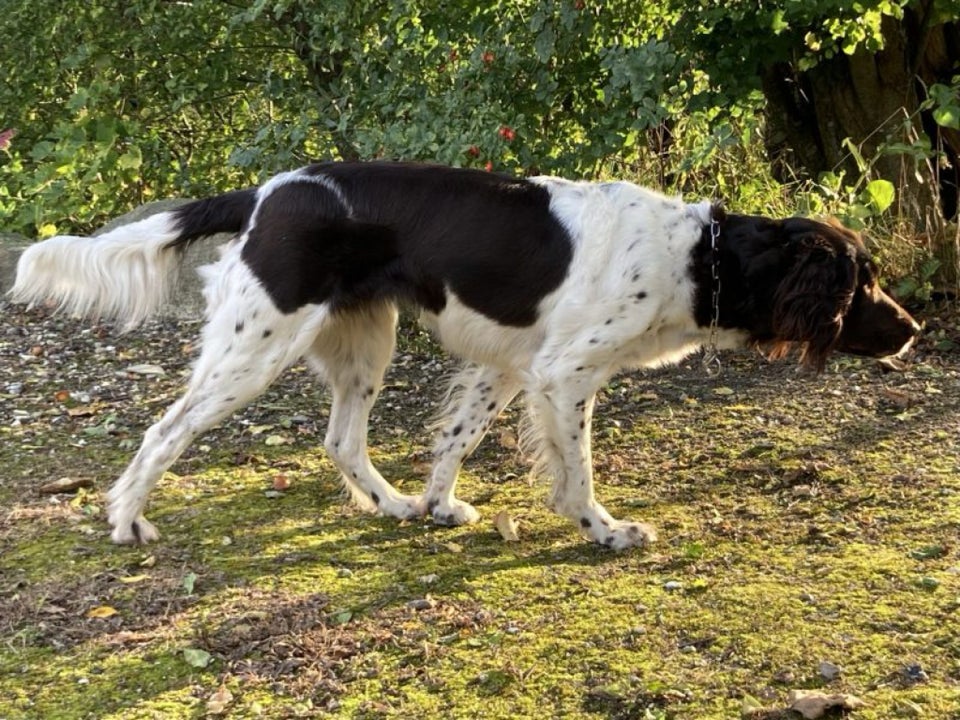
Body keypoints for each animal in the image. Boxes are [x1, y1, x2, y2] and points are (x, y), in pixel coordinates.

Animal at [11, 160, 920, 548]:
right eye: (866, 282)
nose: (912, 329)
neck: (703, 256)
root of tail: (267, 191)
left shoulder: (509, 364)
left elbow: (457, 436)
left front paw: (439, 505)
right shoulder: (562, 374)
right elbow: (575, 473)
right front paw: (603, 529)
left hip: (364, 341)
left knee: (341, 440)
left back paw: (390, 505)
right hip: (255, 349)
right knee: (164, 433)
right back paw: (127, 520)